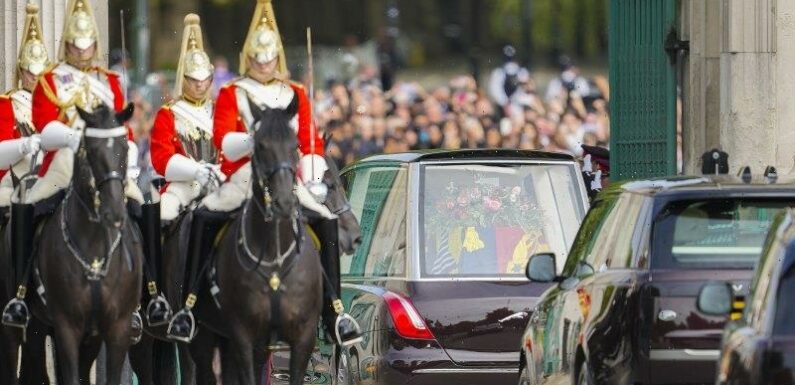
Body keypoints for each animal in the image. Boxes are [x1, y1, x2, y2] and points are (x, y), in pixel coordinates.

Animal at [31, 105, 144, 384]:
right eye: (91, 150)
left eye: (125, 147)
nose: (114, 212)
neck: (94, 251)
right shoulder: (66, 327)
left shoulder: (118, 328)